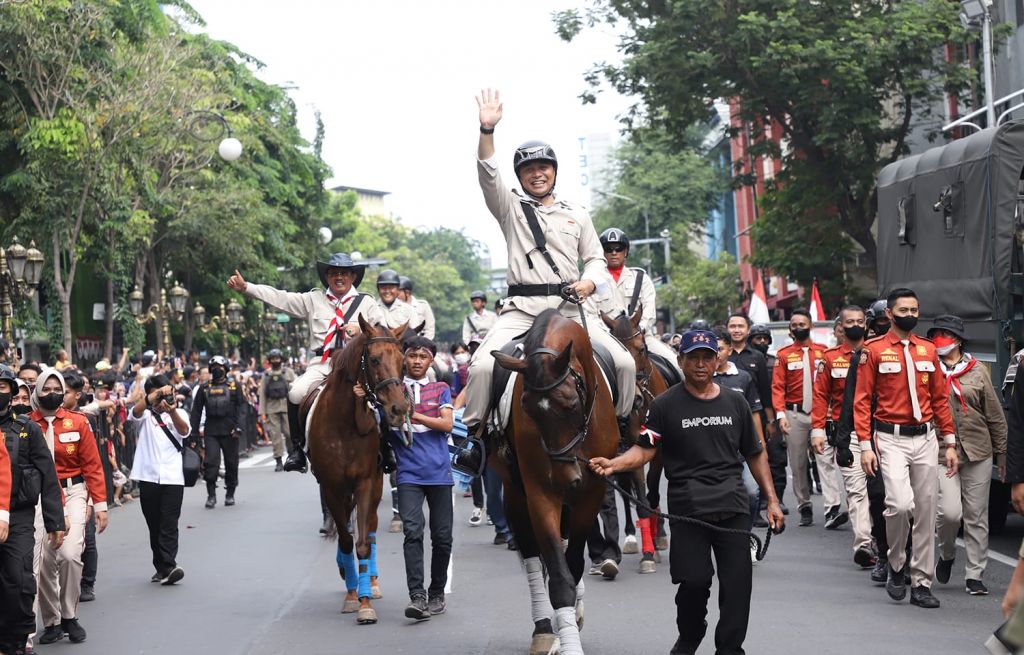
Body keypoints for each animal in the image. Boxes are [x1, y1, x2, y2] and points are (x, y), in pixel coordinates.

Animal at [305, 315, 409, 622]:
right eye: (374, 360)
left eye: (403, 361)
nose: (399, 409)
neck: (345, 424)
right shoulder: (331, 487)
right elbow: (345, 540)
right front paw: (352, 595)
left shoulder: (364, 482)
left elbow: (362, 542)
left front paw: (364, 602)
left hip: (374, 485)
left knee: (371, 529)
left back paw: (371, 582)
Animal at [493, 309, 618, 655]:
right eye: (527, 408)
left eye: (571, 404)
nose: (568, 478)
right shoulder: (540, 493)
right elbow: (559, 577)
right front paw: (565, 639)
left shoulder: (591, 492)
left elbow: (572, 565)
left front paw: (572, 620)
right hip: (516, 493)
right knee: (533, 558)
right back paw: (545, 630)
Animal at [598, 307, 671, 569]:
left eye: (641, 349)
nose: (636, 398)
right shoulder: (626, 451)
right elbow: (635, 498)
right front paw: (646, 552)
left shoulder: (658, 452)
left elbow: (650, 494)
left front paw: (654, 545)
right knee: (625, 489)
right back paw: (631, 536)